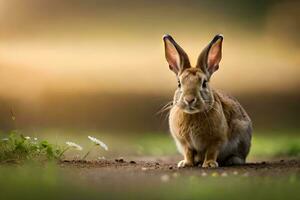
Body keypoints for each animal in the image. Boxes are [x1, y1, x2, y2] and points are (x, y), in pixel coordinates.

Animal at [163, 34, 252, 167]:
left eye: (204, 83)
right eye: (179, 83)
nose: (189, 100)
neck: (193, 114)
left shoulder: (216, 140)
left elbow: (211, 151)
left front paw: (209, 164)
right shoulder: (185, 143)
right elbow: (188, 152)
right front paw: (186, 163)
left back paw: (232, 161)